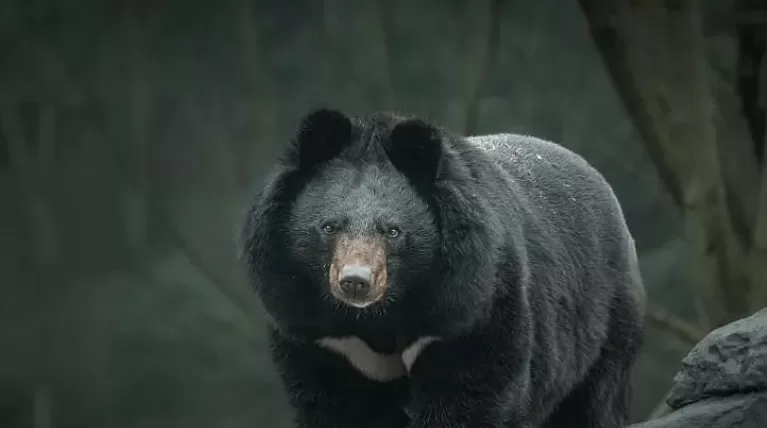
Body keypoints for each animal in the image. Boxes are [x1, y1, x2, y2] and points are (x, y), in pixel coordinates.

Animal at [238, 108, 647, 428]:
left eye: (392, 231)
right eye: (329, 227)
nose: (355, 282)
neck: (378, 317)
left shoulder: (471, 304)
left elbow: (473, 390)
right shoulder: (316, 332)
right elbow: (335, 404)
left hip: (605, 321)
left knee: (594, 401)